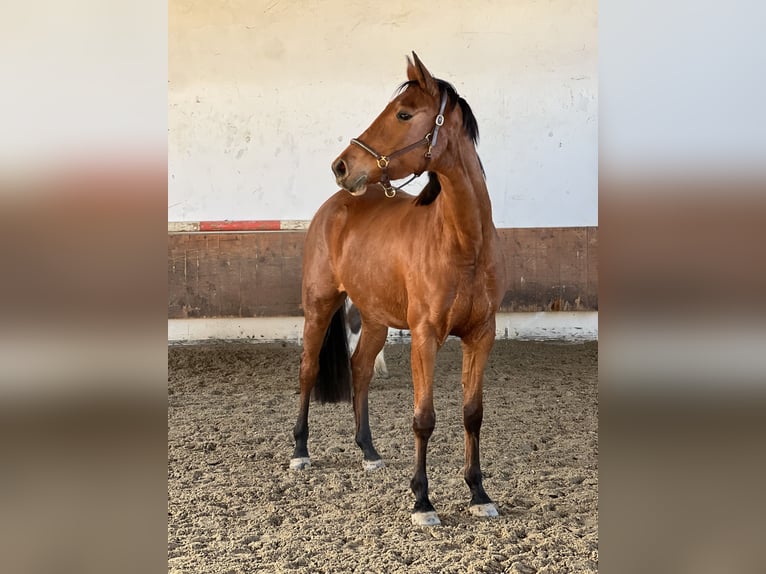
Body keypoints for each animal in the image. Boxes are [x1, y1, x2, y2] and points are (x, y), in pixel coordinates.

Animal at [291, 52, 507, 526]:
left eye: (404, 114)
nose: (341, 166)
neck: (463, 242)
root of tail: (335, 205)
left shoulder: (481, 336)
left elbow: (473, 414)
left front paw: (479, 494)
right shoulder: (425, 337)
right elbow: (423, 418)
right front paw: (422, 501)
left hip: (373, 318)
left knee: (360, 370)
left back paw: (369, 451)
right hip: (318, 307)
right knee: (308, 371)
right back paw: (299, 450)